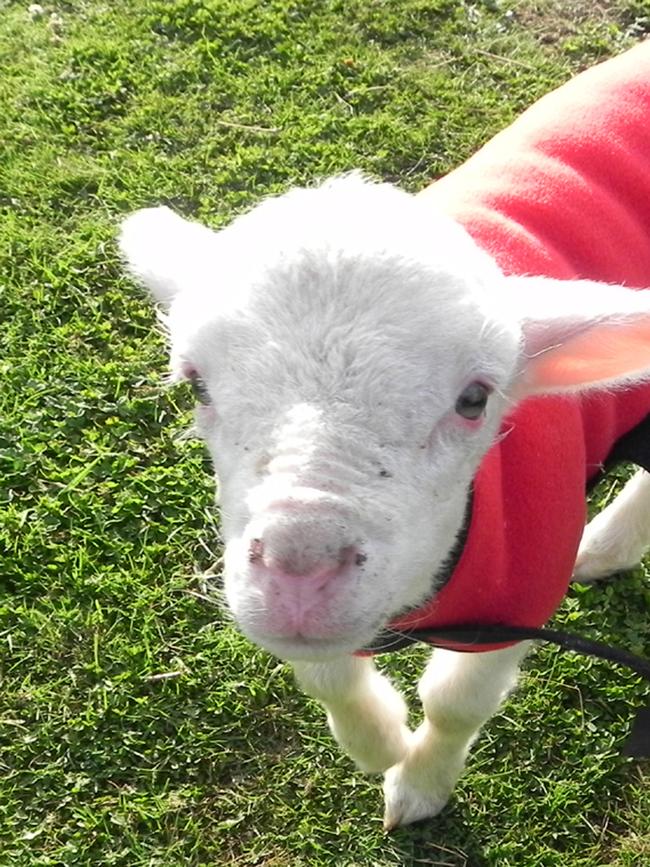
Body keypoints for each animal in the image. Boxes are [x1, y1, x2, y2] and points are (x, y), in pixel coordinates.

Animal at [119, 44, 648, 832]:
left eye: (474, 399)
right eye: (197, 385)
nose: (300, 569)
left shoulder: (517, 595)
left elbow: (456, 702)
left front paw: (420, 783)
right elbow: (329, 674)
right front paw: (379, 742)